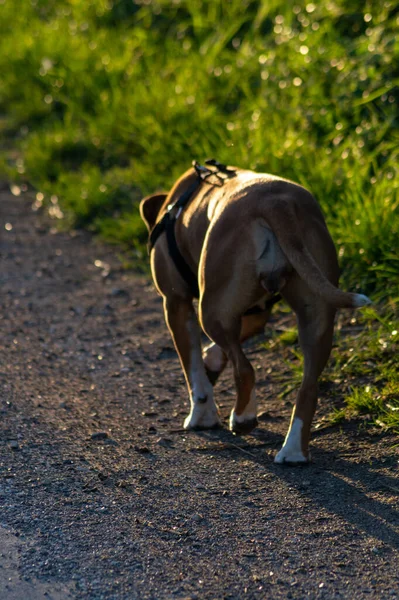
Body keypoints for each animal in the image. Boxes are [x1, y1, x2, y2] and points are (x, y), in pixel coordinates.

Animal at [141, 164, 372, 464]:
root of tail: (277, 204)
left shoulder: (176, 304)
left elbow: (193, 370)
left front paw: (202, 415)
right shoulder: (257, 312)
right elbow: (216, 350)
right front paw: (211, 363)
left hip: (210, 309)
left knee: (245, 369)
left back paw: (242, 418)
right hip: (315, 313)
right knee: (308, 387)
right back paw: (293, 451)